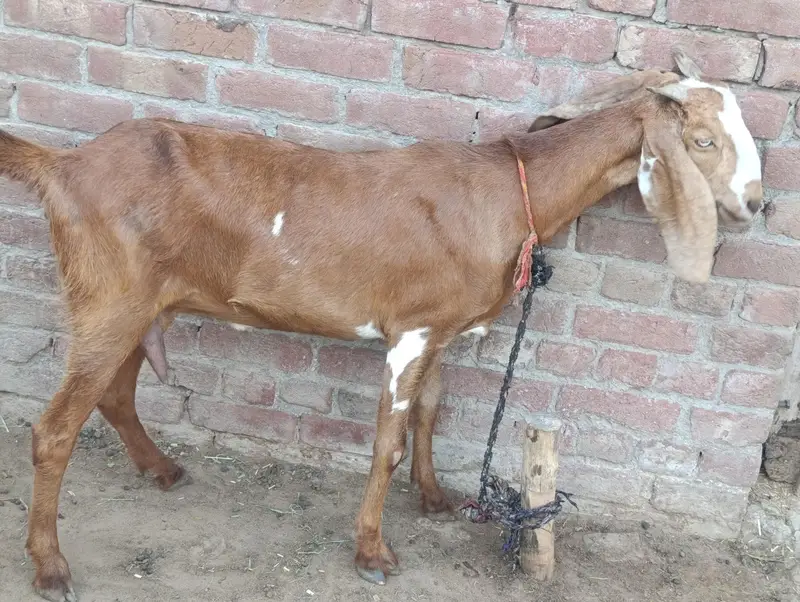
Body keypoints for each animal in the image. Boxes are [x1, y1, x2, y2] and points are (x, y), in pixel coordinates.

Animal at [0, 50, 761, 600]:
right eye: (701, 140)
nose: (757, 202)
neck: (506, 192)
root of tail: (64, 164)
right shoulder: (412, 330)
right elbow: (387, 441)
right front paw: (372, 550)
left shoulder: (442, 329)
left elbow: (430, 410)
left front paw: (435, 497)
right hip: (110, 299)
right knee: (55, 429)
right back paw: (51, 566)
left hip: (142, 306)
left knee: (114, 393)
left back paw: (161, 470)